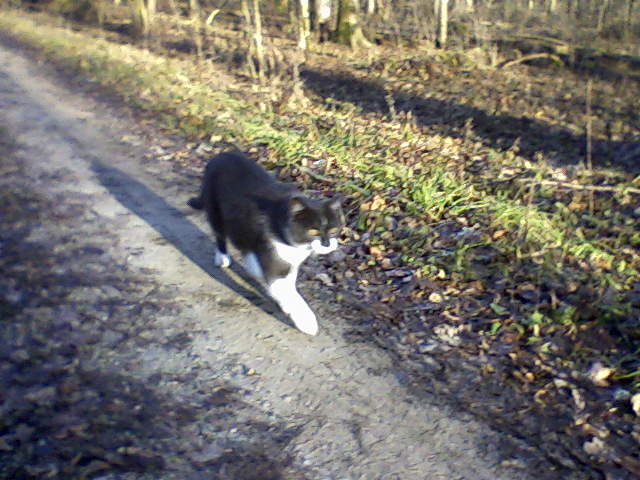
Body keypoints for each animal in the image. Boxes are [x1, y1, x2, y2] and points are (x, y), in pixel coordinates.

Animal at [188, 152, 342, 336]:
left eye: (333, 230)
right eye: (313, 232)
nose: (326, 244)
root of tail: (220, 155)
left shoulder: (290, 261)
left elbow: (288, 283)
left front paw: (284, 302)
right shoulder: (273, 257)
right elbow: (289, 292)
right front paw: (307, 322)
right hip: (215, 208)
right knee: (219, 233)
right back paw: (223, 258)